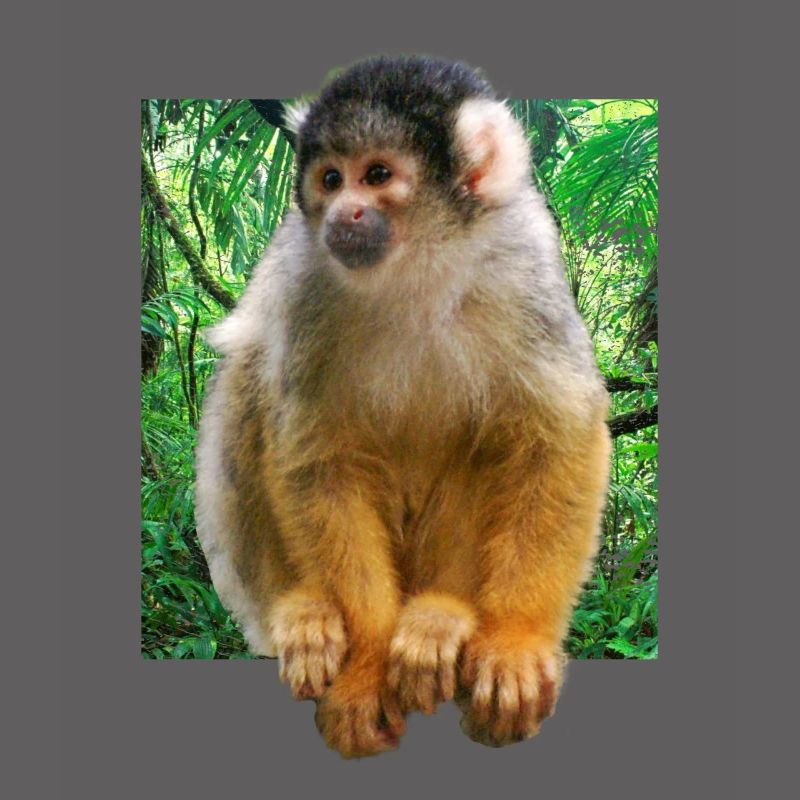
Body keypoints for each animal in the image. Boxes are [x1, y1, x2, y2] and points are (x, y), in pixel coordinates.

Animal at [195, 56, 611, 758]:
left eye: (378, 175)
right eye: (330, 179)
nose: (344, 213)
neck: (417, 265)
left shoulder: (523, 266)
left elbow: (558, 438)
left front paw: (516, 639)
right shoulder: (306, 282)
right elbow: (318, 460)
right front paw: (365, 669)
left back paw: (443, 616)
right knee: (251, 371)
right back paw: (300, 610)